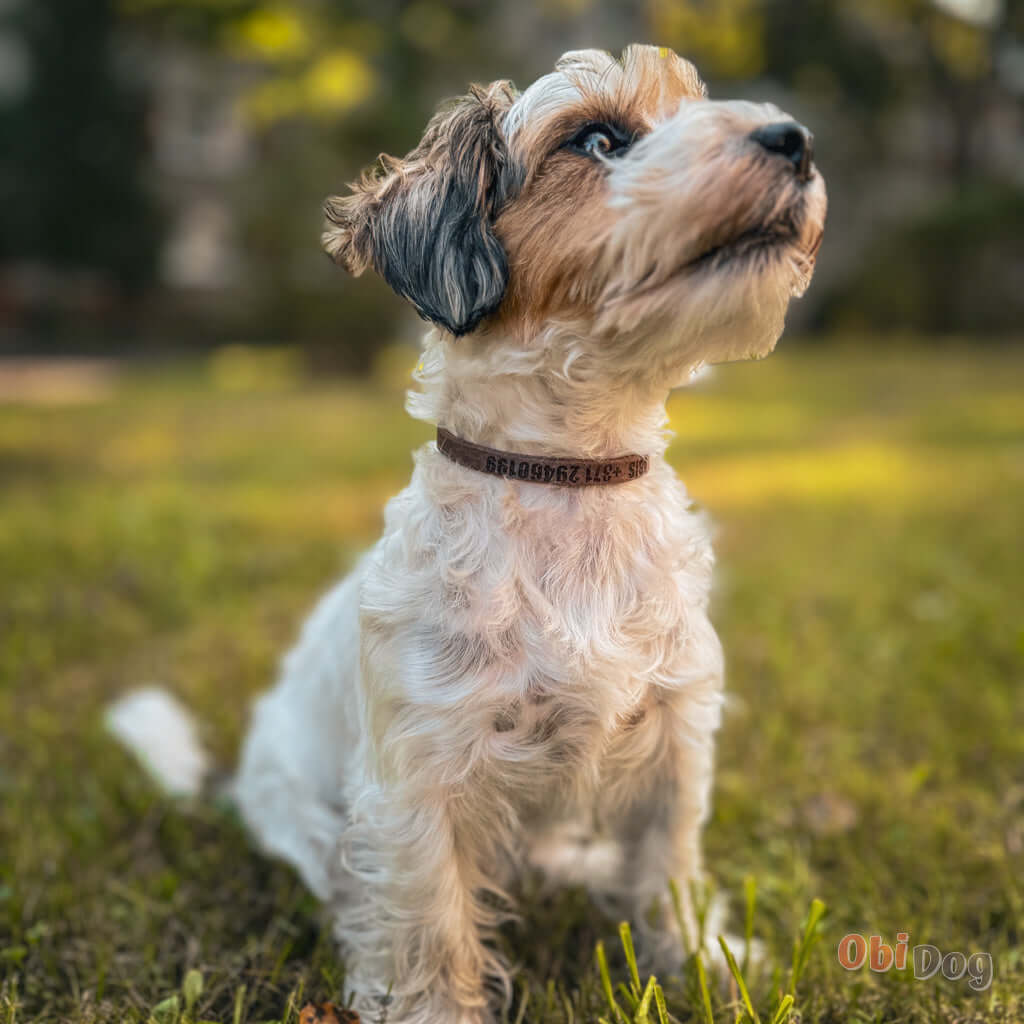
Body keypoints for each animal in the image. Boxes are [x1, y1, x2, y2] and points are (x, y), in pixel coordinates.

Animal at [110, 46, 823, 1024]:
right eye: (598, 140)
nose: (795, 139)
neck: (569, 481)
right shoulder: (420, 780)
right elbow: (430, 924)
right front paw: (434, 1004)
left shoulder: (674, 742)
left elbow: (665, 870)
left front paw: (700, 959)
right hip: (312, 825)